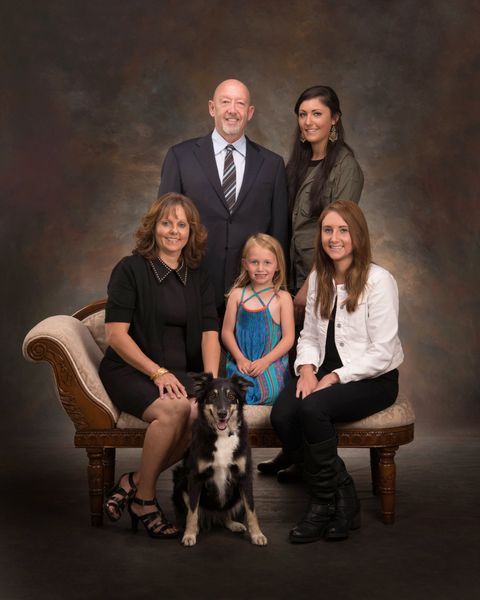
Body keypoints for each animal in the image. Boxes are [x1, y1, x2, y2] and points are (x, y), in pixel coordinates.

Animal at [172, 372, 268, 548]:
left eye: (231, 396)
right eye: (212, 396)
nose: (222, 413)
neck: (222, 435)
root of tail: (213, 516)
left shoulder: (245, 477)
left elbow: (251, 510)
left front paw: (257, 534)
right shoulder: (195, 477)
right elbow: (192, 511)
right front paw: (189, 534)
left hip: (236, 496)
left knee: (225, 516)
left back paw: (234, 524)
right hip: (180, 482)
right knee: (195, 513)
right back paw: (196, 528)